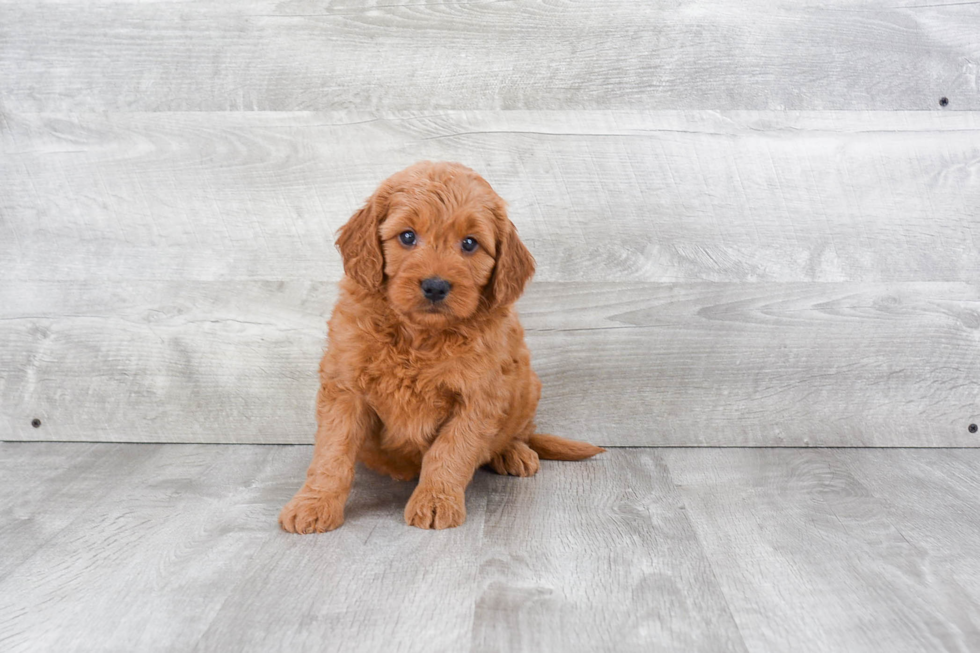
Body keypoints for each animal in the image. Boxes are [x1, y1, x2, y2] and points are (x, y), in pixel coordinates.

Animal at [278, 162, 604, 528]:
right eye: (407, 236)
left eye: (470, 243)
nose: (435, 286)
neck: (420, 336)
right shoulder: (345, 387)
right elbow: (333, 452)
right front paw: (314, 503)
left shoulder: (479, 397)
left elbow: (450, 451)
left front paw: (435, 501)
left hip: (527, 387)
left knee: (519, 431)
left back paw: (513, 451)